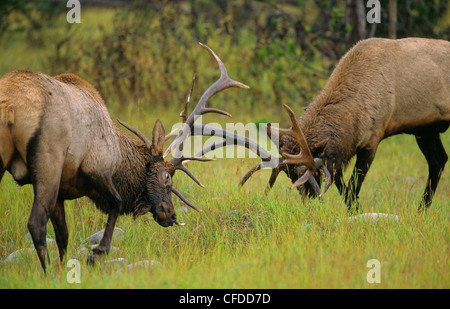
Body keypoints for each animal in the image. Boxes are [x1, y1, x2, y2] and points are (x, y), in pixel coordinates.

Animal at [0, 42, 248, 270]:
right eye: (167, 177)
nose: (172, 215)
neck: (120, 159)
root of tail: (11, 106)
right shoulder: (97, 169)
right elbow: (117, 203)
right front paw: (97, 253)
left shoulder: (62, 192)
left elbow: (63, 235)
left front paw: (66, 267)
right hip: (48, 161)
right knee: (36, 223)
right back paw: (48, 273)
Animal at [237, 37, 448, 212]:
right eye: (291, 176)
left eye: (311, 172)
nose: (311, 198)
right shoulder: (338, 155)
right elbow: (343, 188)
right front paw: (354, 211)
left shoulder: (372, 140)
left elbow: (354, 187)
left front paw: (355, 213)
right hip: (426, 130)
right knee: (439, 160)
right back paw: (421, 211)